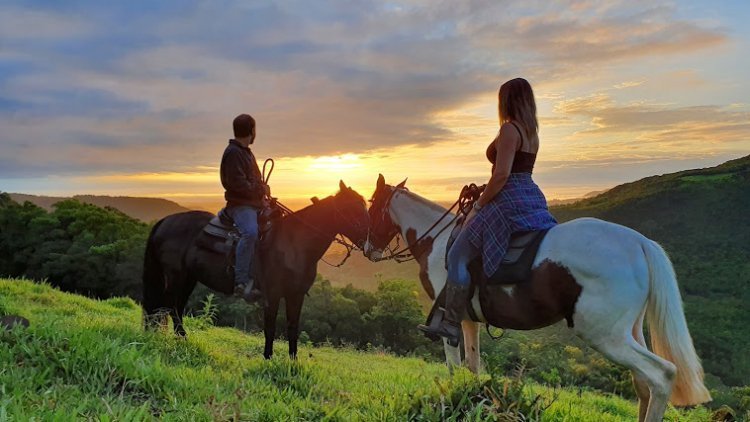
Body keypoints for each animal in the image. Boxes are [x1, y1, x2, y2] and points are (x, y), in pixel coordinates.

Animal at [142, 181, 370, 360]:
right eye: (352, 207)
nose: (370, 240)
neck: (294, 243)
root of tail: (164, 221)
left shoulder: (295, 295)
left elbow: (292, 327)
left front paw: (293, 361)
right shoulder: (273, 294)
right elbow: (270, 327)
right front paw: (268, 358)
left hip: (189, 278)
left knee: (177, 307)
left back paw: (182, 340)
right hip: (175, 276)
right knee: (170, 306)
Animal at [368, 175, 712, 422]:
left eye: (371, 208)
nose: (369, 250)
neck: (437, 241)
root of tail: (639, 242)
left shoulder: (448, 322)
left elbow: (454, 368)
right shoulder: (467, 320)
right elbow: (472, 368)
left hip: (605, 336)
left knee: (661, 375)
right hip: (630, 332)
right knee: (643, 384)